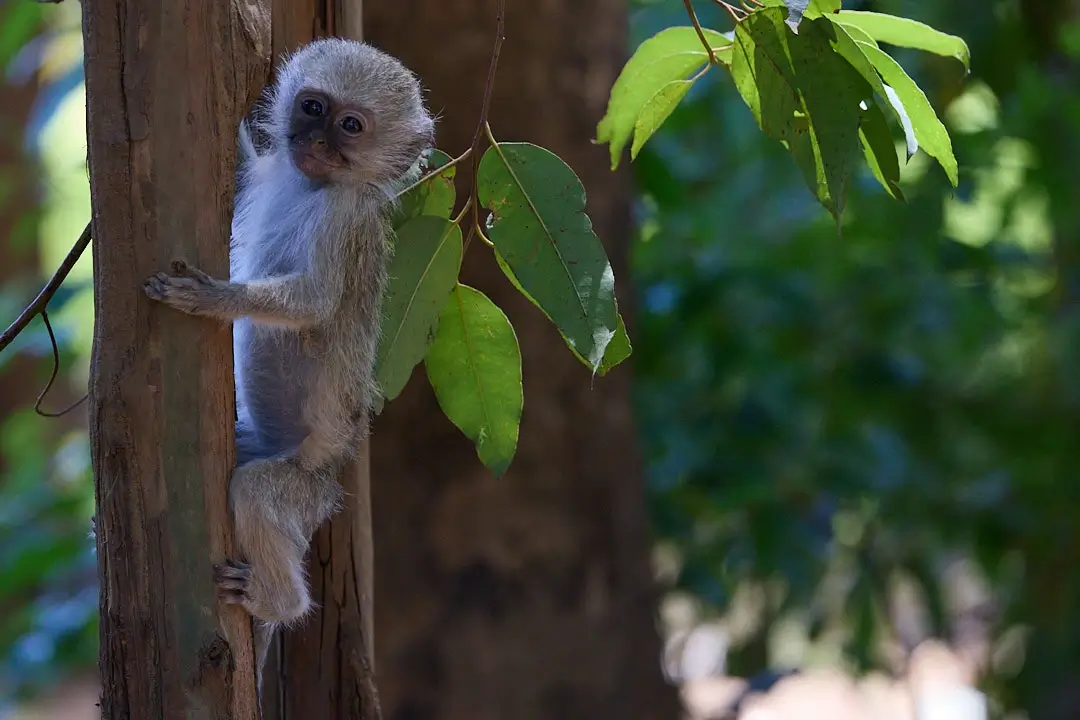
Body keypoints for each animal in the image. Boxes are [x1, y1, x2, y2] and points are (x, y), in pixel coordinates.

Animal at [142, 38, 435, 675]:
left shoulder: (345, 221)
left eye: (350, 126)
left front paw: (215, 300)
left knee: (256, 491)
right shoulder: (273, 171)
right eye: (312, 107)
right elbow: (247, 167)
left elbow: (315, 301)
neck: (311, 187)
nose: (315, 141)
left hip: (303, 488)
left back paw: (276, 601)